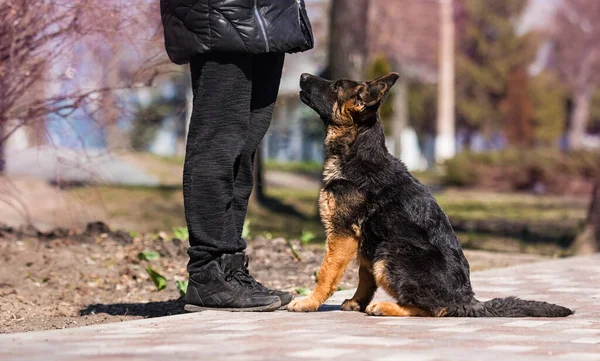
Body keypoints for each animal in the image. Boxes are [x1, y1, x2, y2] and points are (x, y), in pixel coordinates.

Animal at [288, 72, 576, 316]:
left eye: (336, 86)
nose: (302, 75)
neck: (357, 154)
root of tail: (466, 300)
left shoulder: (343, 234)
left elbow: (325, 273)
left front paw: (309, 302)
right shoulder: (364, 240)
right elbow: (364, 276)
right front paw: (356, 302)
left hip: (390, 252)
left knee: (432, 309)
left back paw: (386, 307)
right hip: (382, 249)